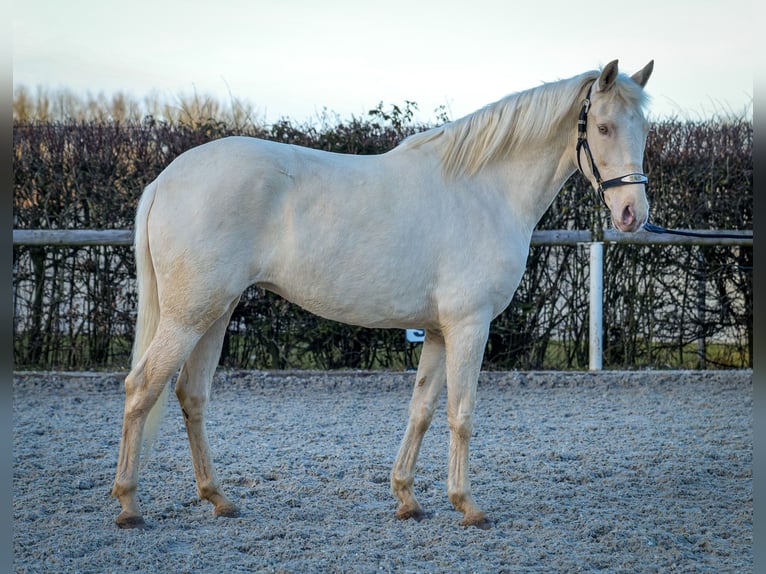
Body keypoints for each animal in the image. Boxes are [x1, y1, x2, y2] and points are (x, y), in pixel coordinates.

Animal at [112, 58, 656, 532]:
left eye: (645, 130)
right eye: (603, 127)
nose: (632, 213)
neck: (483, 191)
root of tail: (164, 181)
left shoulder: (438, 331)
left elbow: (422, 410)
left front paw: (407, 498)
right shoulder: (469, 325)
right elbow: (461, 414)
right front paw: (468, 505)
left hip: (215, 312)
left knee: (191, 394)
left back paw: (218, 498)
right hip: (189, 315)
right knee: (142, 387)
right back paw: (129, 505)